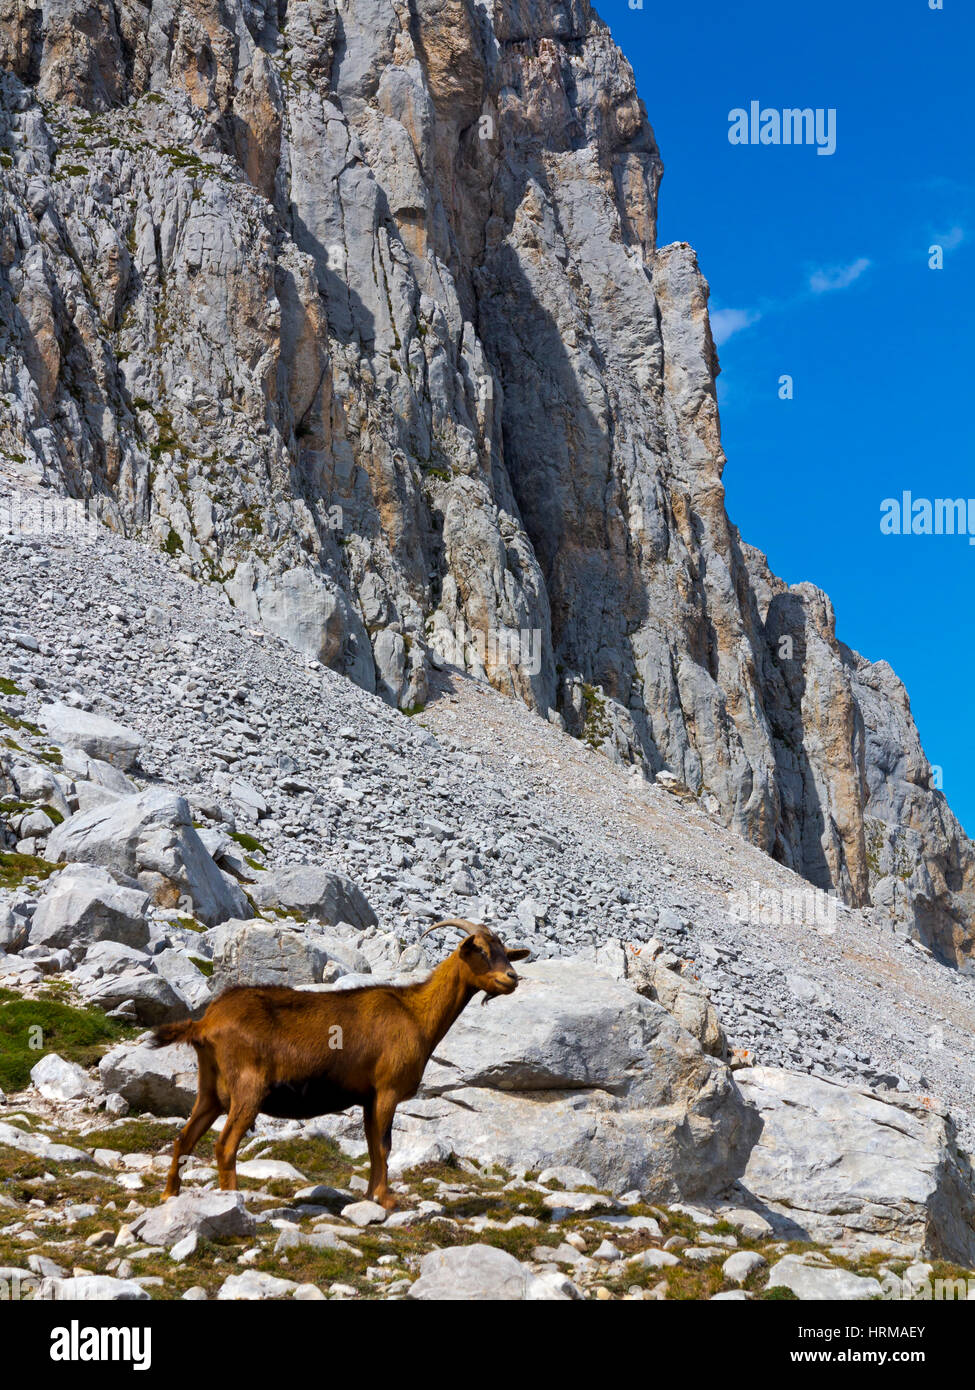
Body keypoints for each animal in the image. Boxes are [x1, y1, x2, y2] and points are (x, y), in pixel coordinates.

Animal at [148, 922, 528, 1206]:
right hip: (248, 1087)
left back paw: (169, 1196)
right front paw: (386, 1199)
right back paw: (232, 1199)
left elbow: (373, 1145)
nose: (512, 978)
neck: (415, 1013)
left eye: (505, 951)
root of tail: (205, 1023)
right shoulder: (387, 1090)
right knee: (224, 1145)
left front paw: (370, 1195)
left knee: (183, 1139)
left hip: (210, 1090)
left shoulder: (368, 1098)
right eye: (480, 951)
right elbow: (385, 1144)